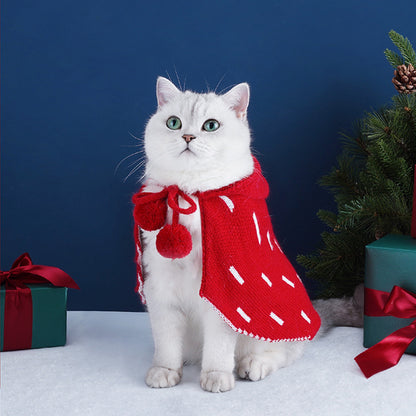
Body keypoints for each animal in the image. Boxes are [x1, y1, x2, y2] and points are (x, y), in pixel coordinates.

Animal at [135, 76, 316, 392]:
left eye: (210, 125)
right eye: (173, 123)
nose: (188, 137)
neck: (190, 193)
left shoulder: (224, 295)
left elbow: (219, 348)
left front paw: (216, 376)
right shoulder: (160, 286)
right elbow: (166, 343)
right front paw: (164, 371)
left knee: (280, 353)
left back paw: (251, 366)